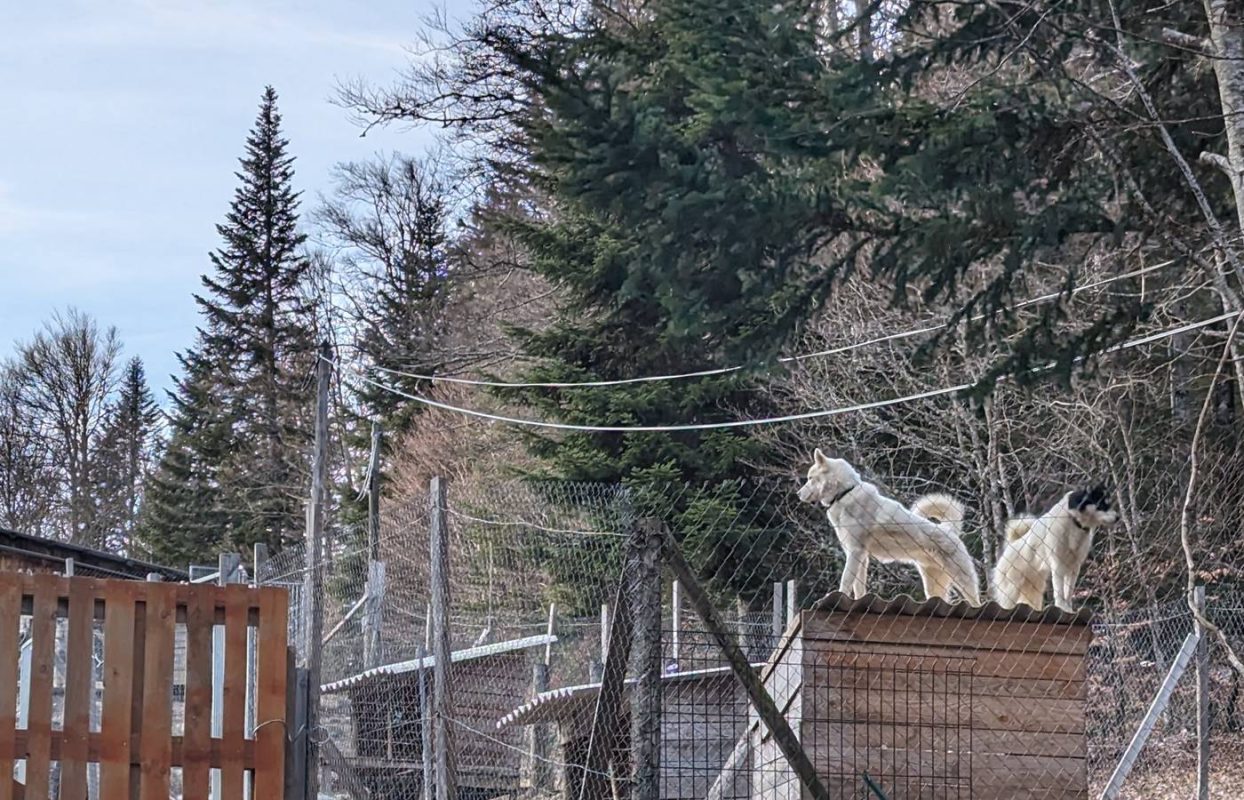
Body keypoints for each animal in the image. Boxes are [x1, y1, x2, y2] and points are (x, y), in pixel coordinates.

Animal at [796, 450, 980, 607]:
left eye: (810, 478)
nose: (798, 494)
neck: (845, 493)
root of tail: (949, 530)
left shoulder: (855, 552)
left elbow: (845, 581)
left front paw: (838, 596)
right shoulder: (860, 556)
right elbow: (859, 588)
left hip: (963, 582)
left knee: (977, 602)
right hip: (933, 586)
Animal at [990, 487, 1119, 614]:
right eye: (1101, 504)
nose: (1118, 517)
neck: (1074, 522)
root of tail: (1009, 548)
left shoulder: (1074, 566)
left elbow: (1068, 591)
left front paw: (1068, 609)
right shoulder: (1058, 564)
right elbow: (1060, 591)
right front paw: (1062, 606)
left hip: (1035, 591)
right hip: (1011, 591)